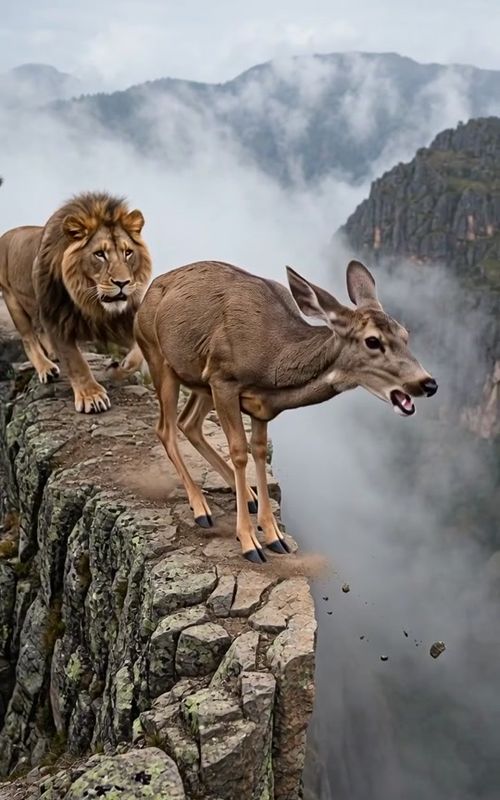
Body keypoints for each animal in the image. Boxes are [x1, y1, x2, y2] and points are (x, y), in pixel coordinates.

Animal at [0, 191, 152, 412]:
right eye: (99, 254)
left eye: (128, 252)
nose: (122, 283)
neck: (89, 301)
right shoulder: (56, 319)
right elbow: (76, 361)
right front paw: (92, 396)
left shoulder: (121, 319)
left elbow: (137, 353)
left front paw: (116, 369)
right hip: (12, 300)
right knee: (28, 339)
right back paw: (46, 368)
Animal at [135, 259, 438, 564]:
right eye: (372, 341)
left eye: (406, 335)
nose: (428, 383)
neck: (272, 366)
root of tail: (148, 293)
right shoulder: (223, 379)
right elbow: (239, 451)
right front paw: (249, 542)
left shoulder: (257, 405)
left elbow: (257, 450)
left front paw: (273, 535)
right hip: (158, 355)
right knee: (166, 428)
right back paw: (201, 508)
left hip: (199, 381)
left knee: (188, 422)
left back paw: (248, 496)